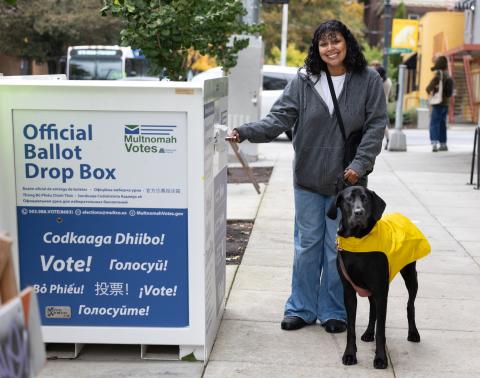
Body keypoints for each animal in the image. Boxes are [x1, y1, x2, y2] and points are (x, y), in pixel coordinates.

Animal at [328, 186, 430, 370]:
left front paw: (381, 358)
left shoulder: (381, 291)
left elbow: (381, 330)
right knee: (373, 309)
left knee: (410, 305)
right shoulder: (349, 291)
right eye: (348, 199)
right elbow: (351, 329)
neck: (358, 241)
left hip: (410, 276)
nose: (359, 212)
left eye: (365, 199)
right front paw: (349, 354)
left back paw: (413, 332)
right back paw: (369, 333)